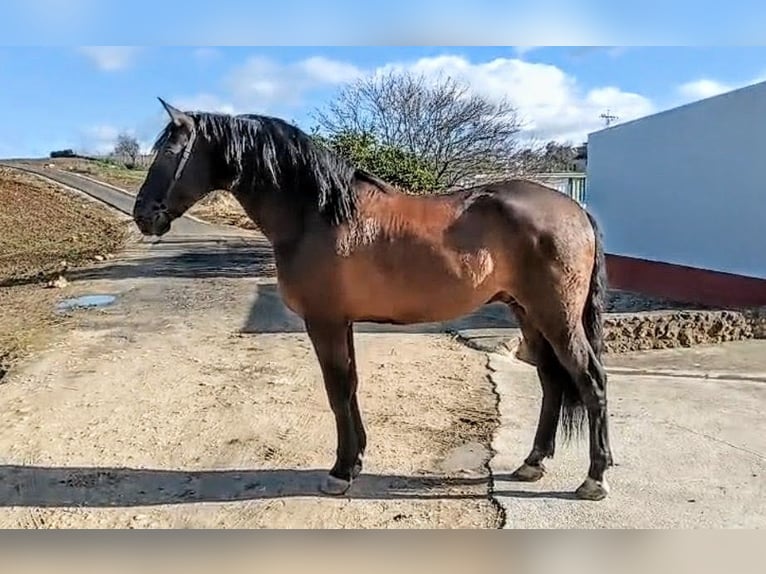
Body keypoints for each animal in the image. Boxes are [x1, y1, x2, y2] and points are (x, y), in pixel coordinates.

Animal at [132, 98, 614, 501]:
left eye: (170, 153)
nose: (143, 216)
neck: (317, 214)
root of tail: (577, 210)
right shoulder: (341, 322)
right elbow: (351, 387)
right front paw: (357, 457)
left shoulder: (324, 322)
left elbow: (337, 389)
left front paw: (341, 471)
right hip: (528, 313)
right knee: (552, 381)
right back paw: (533, 463)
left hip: (556, 316)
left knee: (591, 381)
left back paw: (594, 479)